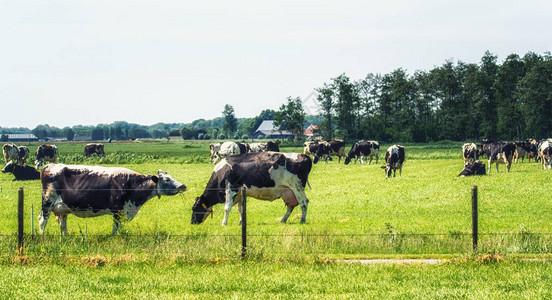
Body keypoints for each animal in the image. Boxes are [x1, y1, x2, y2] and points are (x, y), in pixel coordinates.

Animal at [38, 164, 188, 234]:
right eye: (167, 179)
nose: (183, 186)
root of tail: (49, 166)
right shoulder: (117, 209)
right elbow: (116, 227)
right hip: (47, 201)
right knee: (42, 220)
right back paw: (42, 236)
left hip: (63, 208)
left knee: (63, 224)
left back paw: (65, 237)